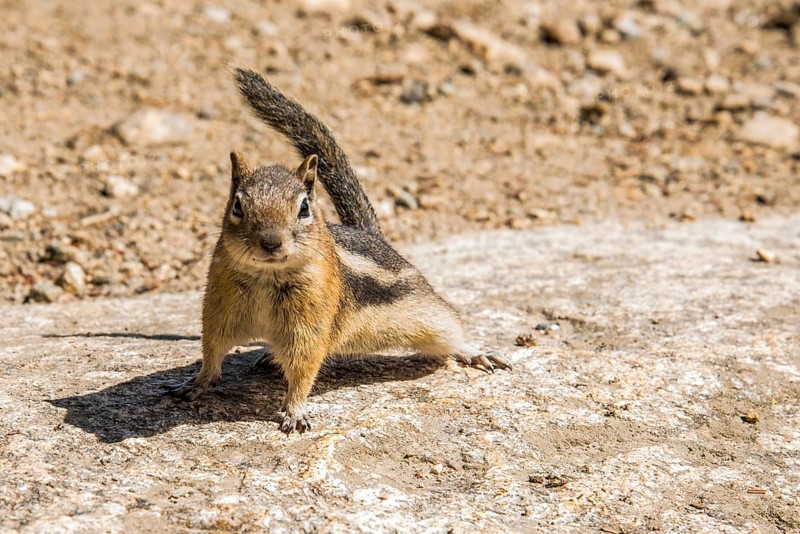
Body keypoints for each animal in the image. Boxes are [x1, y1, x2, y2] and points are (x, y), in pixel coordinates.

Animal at [169, 68, 511, 434]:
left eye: (304, 208)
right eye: (237, 206)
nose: (271, 242)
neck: (267, 276)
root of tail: (369, 233)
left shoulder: (309, 327)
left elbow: (304, 370)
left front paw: (294, 411)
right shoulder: (220, 309)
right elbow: (212, 351)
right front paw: (196, 383)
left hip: (426, 314)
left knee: (450, 330)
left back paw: (476, 352)